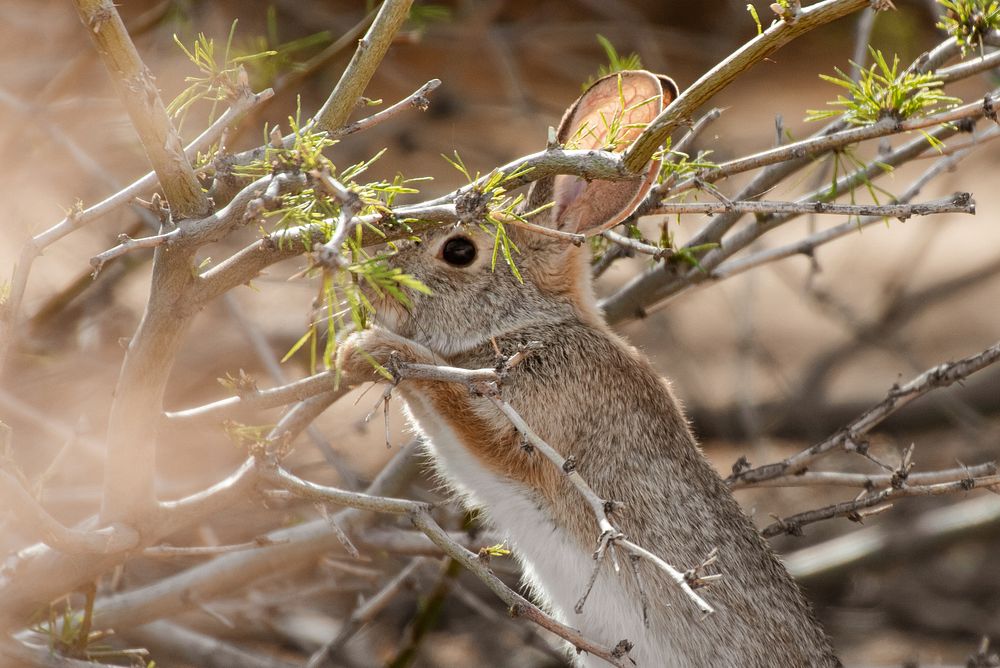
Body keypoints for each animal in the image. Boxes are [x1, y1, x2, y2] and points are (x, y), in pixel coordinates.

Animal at [340, 70, 840, 664]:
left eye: (458, 251)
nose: (364, 278)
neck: (533, 324)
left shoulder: (535, 433)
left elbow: (449, 404)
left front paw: (370, 348)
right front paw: (358, 350)